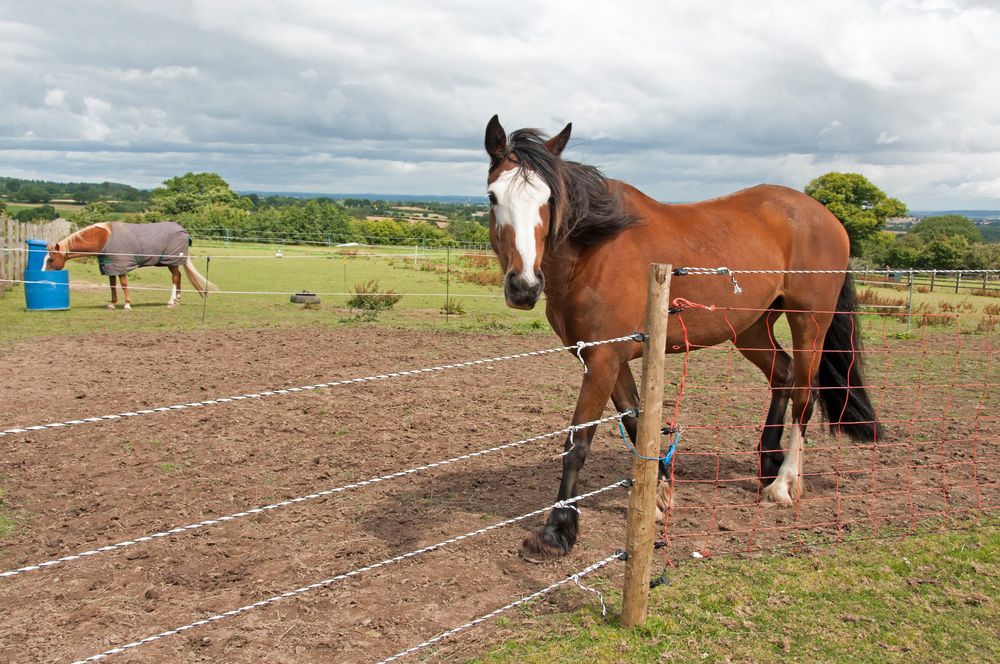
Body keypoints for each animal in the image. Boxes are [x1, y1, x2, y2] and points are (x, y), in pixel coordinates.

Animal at [43, 221, 215, 310]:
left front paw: (127, 304)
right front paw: (112, 304)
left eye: (50, 260)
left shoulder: (121, 266)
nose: (43, 272)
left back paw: (171, 301)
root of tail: (183, 231)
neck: (104, 238)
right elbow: (112, 285)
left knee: (175, 278)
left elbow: (124, 284)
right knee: (178, 277)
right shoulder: (110, 267)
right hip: (171, 263)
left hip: (171, 262)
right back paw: (177, 300)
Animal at [483, 115, 879, 562]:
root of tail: (826, 216)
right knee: (784, 374)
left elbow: (578, 440)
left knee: (803, 395)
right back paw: (769, 464)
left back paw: (784, 483)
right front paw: (659, 496)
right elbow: (637, 421)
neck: (593, 251)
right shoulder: (607, 359)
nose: (524, 286)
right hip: (751, 328)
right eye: (493, 197)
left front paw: (556, 530)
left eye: (549, 199)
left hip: (809, 323)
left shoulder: (603, 360)